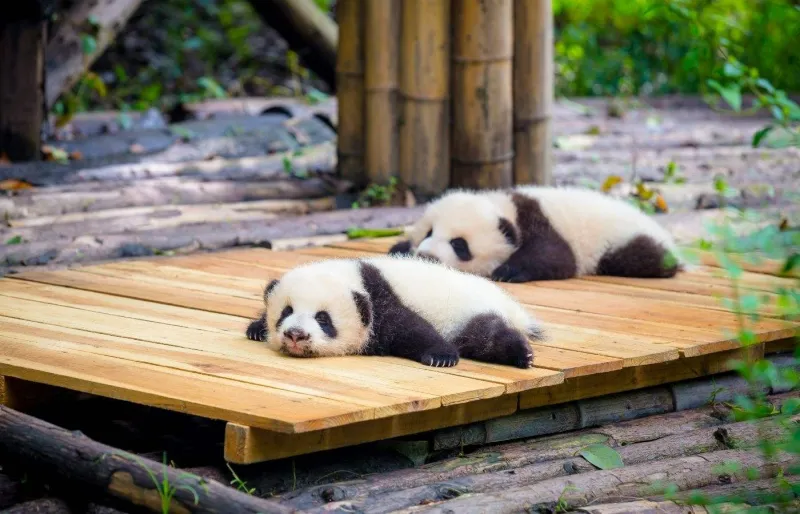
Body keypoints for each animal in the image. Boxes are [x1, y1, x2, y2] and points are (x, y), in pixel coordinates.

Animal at [245, 255, 546, 369]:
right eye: (286, 312)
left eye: (323, 318)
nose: (296, 335)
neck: (353, 275)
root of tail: (510, 305)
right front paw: (256, 328)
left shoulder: (381, 301)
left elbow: (412, 328)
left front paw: (441, 357)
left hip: (471, 311)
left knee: (487, 335)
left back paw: (522, 354)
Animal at [388, 185, 685, 283]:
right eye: (429, 232)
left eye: (459, 245)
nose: (427, 256)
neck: (506, 208)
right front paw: (399, 248)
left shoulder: (541, 224)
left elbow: (557, 257)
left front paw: (508, 271)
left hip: (625, 241)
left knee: (641, 257)